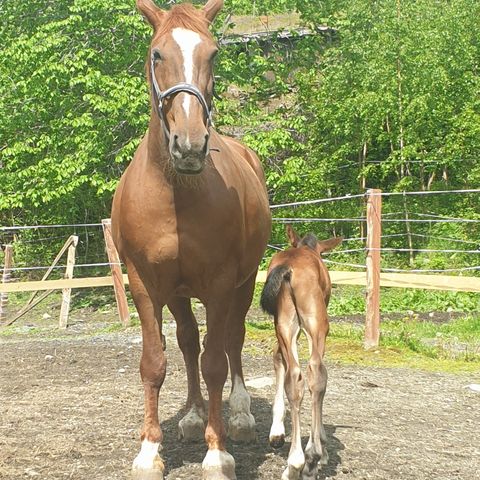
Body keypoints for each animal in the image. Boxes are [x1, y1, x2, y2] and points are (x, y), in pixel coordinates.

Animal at [110, 1, 272, 478]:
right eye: (157, 53)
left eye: (213, 53)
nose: (190, 144)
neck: (175, 193)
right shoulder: (144, 284)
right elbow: (155, 361)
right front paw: (149, 451)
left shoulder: (220, 284)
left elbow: (216, 362)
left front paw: (217, 453)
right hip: (179, 293)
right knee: (186, 341)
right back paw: (194, 415)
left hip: (244, 281)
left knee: (232, 339)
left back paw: (238, 414)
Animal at [260, 226, 344, 480]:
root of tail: (289, 269)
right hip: (316, 325)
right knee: (311, 374)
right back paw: (307, 458)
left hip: (286, 323)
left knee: (301, 377)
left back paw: (301, 460)